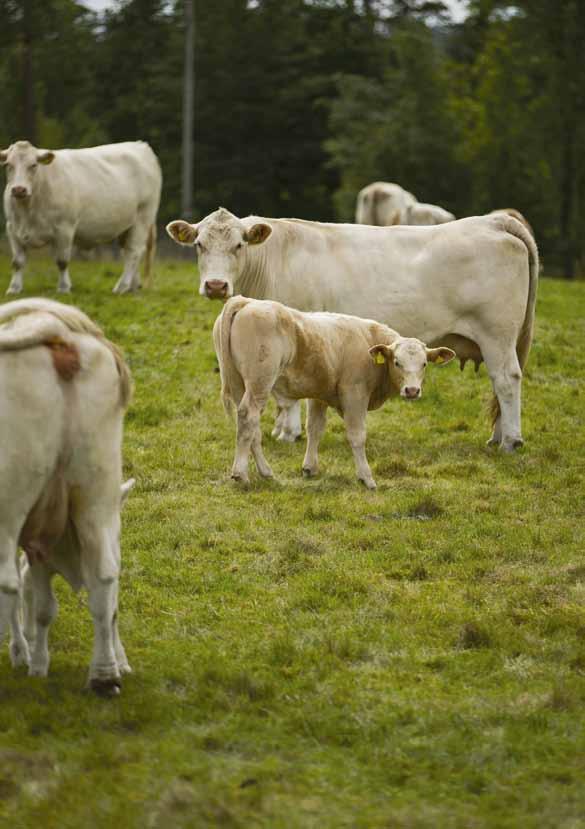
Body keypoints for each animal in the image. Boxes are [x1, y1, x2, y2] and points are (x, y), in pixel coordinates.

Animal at [0, 142, 161, 294]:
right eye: (8, 165)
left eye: (33, 165)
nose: (19, 189)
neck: (28, 211)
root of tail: (140, 144)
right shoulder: (12, 229)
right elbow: (17, 262)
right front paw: (14, 288)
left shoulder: (65, 228)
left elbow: (62, 261)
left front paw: (64, 288)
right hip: (126, 225)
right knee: (128, 252)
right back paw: (133, 287)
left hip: (143, 216)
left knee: (133, 251)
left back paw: (122, 286)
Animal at [165, 209, 540, 452]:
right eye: (199, 244)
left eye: (239, 245)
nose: (216, 285)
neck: (272, 263)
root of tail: (494, 221)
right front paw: (283, 429)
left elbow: (287, 392)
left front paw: (288, 432)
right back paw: (497, 436)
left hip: (497, 335)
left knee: (507, 380)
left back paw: (511, 441)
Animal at [214, 298, 456, 488]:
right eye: (397, 362)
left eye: (424, 364)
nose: (412, 390)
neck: (368, 341)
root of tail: (246, 301)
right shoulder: (355, 394)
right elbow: (357, 435)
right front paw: (366, 477)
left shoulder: (318, 395)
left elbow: (314, 429)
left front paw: (309, 468)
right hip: (259, 383)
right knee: (249, 417)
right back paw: (241, 473)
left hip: (240, 384)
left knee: (250, 426)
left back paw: (265, 471)